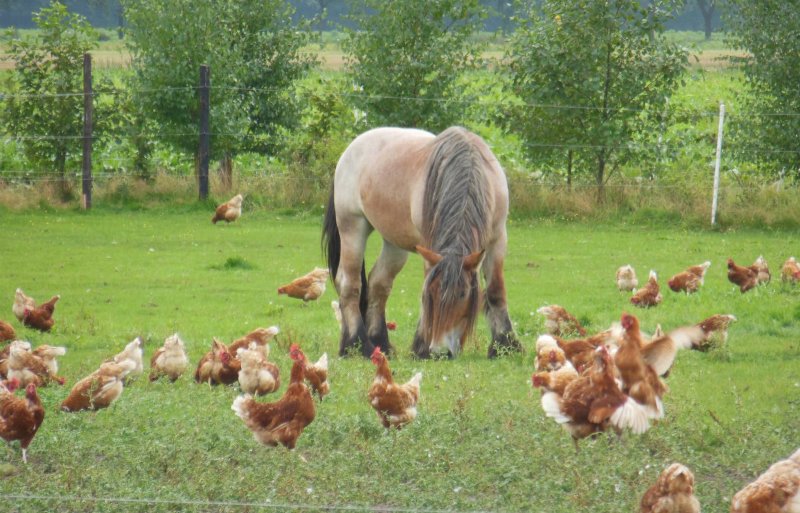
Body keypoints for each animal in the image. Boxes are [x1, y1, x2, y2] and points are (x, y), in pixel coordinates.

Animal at [322, 126, 520, 358]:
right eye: (434, 294)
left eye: (463, 294)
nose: (441, 351)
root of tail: (351, 149)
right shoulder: (429, 245)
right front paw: (422, 347)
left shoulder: (497, 239)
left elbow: (496, 291)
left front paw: (506, 345)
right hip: (352, 226)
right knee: (349, 284)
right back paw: (356, 344)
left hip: (394, 243)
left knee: (378, 284)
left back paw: (381, 343)